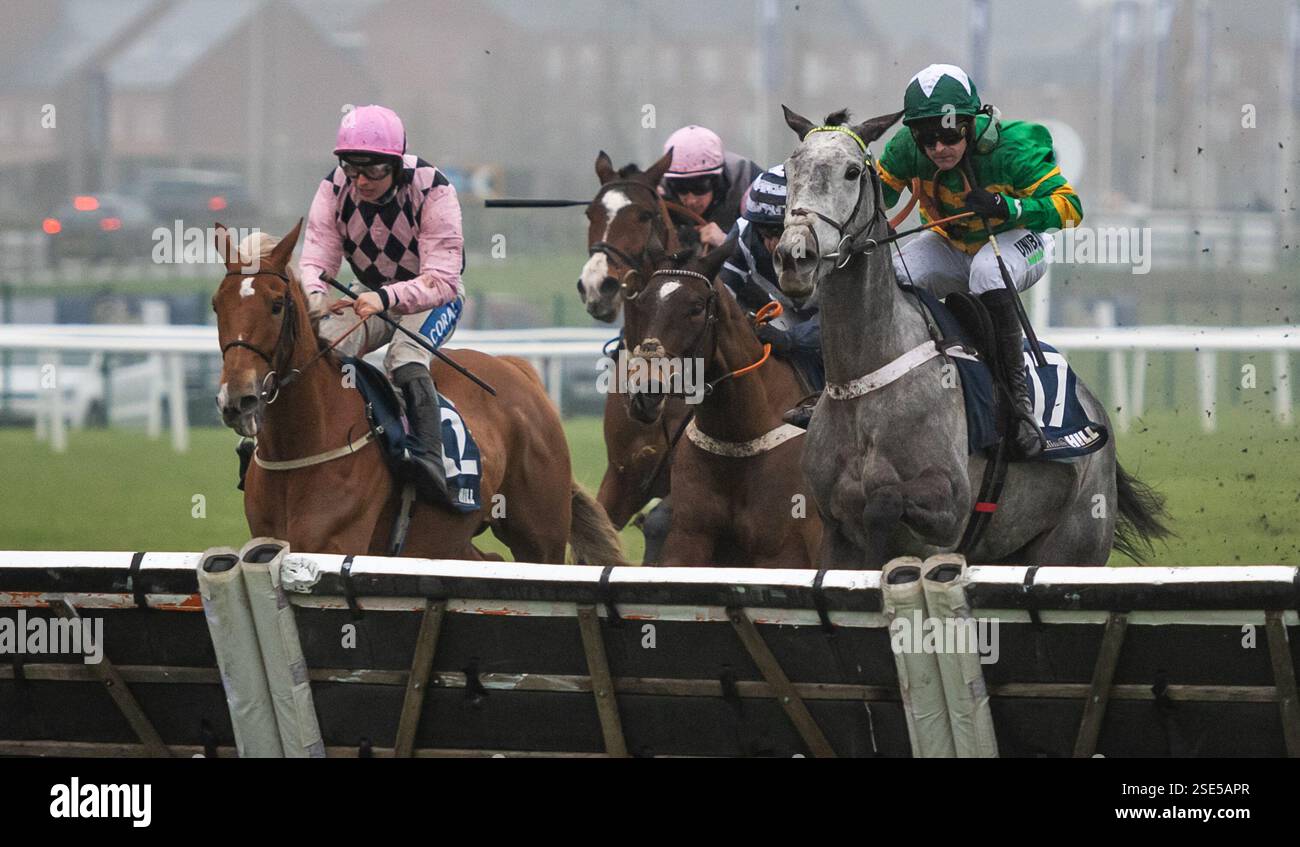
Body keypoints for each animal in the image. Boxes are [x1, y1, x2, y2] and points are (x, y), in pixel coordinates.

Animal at [210, 219, 626, 561]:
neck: (301, 449)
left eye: (277, 304)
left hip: (540, 534)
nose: (238, 400)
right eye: (217, 305)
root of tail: (518, 369)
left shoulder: (334, 545)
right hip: (445, 539)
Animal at [621, 242, 821, 561]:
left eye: (696, 308)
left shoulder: (781, 551)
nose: (644, 391)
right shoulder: (689, 538)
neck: (739, 436)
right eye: (641, 303)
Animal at [764, 107, 1175, 568]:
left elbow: (885, 504)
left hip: (1072, 546)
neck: (866, 382)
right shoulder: (834, 533)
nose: (794, 258)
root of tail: (1096, 411)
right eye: (791, 168)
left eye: (852, 171)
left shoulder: (948, 512)